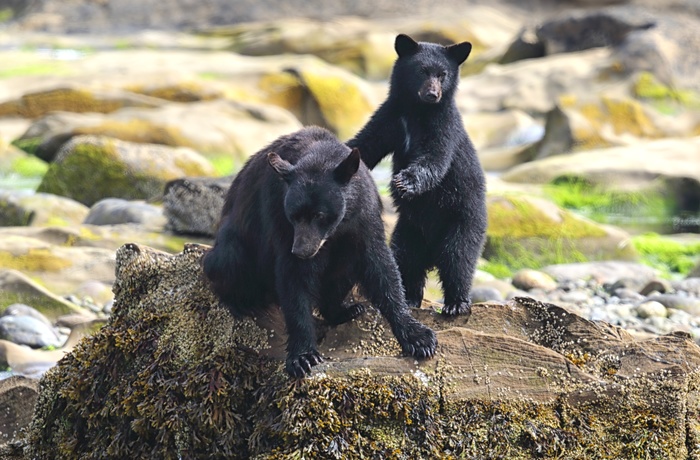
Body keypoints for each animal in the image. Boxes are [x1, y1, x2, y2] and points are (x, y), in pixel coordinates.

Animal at [201, 125, 438, 378]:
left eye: (320, 215)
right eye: (294, 215)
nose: (301, 251)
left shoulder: (364, 215)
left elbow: (380, 267)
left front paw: (419, 338)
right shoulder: (279, 216)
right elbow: (294, 278)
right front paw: (303, 357)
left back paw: (346, 310)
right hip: (235, 245)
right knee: (228, 261)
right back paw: (242, 303)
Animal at [348, 34, 486, 318]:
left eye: (443, 74)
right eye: (422, 70)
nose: (433, 94)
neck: (417, 111)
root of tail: (431, 251)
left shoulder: (444, 126)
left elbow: (434, 157)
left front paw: (405, 182)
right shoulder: (390, 117)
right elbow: (366, 144)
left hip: (464, 221)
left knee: (459, 258)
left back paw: (456, 303)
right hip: (408, 230)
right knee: (406, 260)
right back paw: (410, 297)